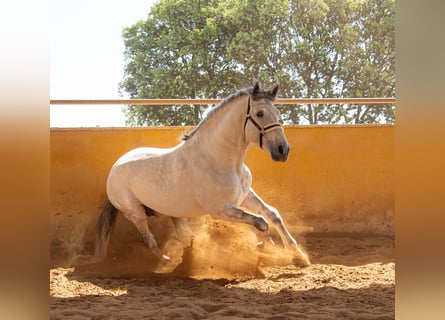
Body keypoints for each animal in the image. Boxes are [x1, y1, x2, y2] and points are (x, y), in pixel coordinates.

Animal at [94, 81, 308, 266]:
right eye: (260, 113)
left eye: (277, 112)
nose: (283, 150)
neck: (220, 160)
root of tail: (114, 169)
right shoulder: (220, 209)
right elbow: (261, 222)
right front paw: (266, 246)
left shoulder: (245, 195)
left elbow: (272, 214)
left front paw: (299, 255)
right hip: (135, 213)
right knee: (149, 239)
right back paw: (168, 262)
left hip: (172, 211)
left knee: (183, 236)